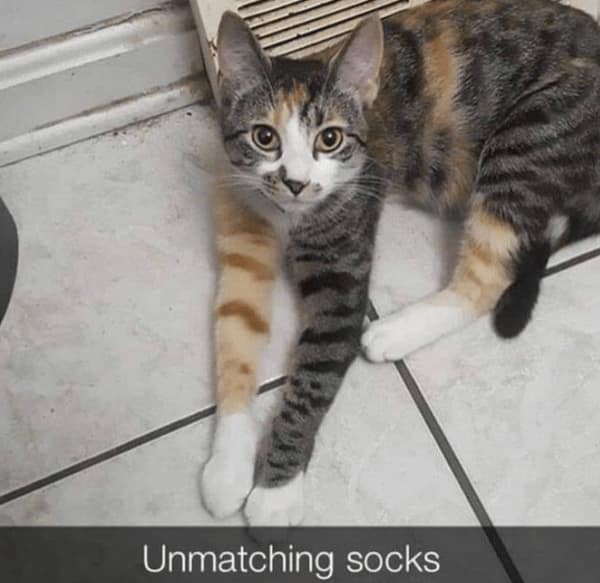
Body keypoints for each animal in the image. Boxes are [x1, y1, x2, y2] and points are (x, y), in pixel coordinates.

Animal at [201, 0, 600, 526]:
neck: (287, 215)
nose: (295, 183)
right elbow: (234, 331)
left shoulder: (343, 254)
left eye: (330, 139)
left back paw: (395, 330)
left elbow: (316, 373)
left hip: (532, 134)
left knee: (491, 273)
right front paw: (227, 467)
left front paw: (277, 491)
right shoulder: (241, 223)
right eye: (264, 137)